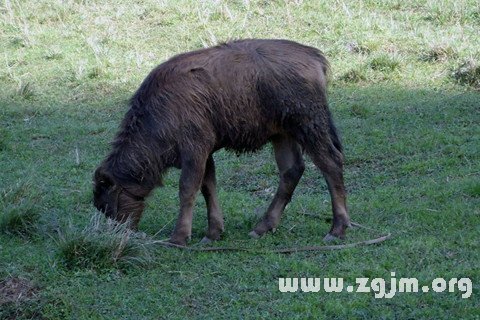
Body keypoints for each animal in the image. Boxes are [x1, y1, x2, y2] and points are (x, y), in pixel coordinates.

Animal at [94, 39, 350, 245]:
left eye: (106, 205)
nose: (117, 234)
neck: (158, 111)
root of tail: (314, 56)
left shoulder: (195, 149)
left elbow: (187, 189)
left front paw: (179, 237)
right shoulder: (205, 153)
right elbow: (208, 188)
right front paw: (213, 233)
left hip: (309, 126)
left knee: (331, 163)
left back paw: (336, 230)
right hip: (283, 134)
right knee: (292, 170)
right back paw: (262, 227)